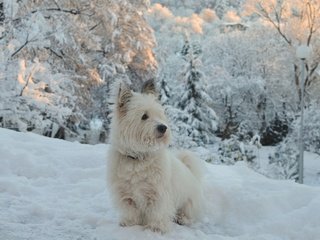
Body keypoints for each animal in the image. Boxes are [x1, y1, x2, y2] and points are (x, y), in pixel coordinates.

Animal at [107, 80, 202, 232]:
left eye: (160, 115)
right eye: (144, 116)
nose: (163, 127)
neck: (139, 158)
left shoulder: (159, 194)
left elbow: (157, 212)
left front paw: (155, 228)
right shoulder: (125, 195)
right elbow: (130, 211)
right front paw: (129, 223)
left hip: (189, 202)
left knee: (188, 214)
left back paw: (182, 218)